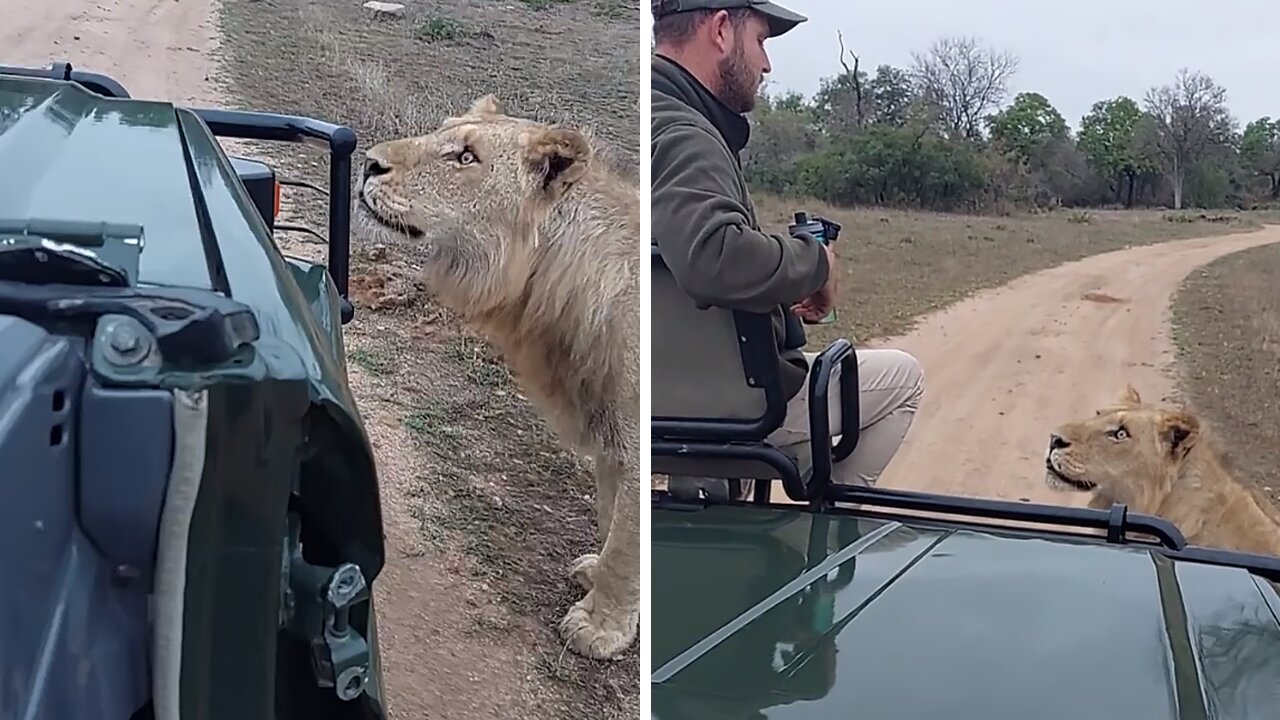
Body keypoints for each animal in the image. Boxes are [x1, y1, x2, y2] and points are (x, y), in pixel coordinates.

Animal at [355, 96, 640, 661]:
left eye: (466, 157)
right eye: (442, 132)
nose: (369, 163)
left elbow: (625, 540)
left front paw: (600, 628)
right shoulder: (612, 441)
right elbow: (609, 518)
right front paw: (600, 580)